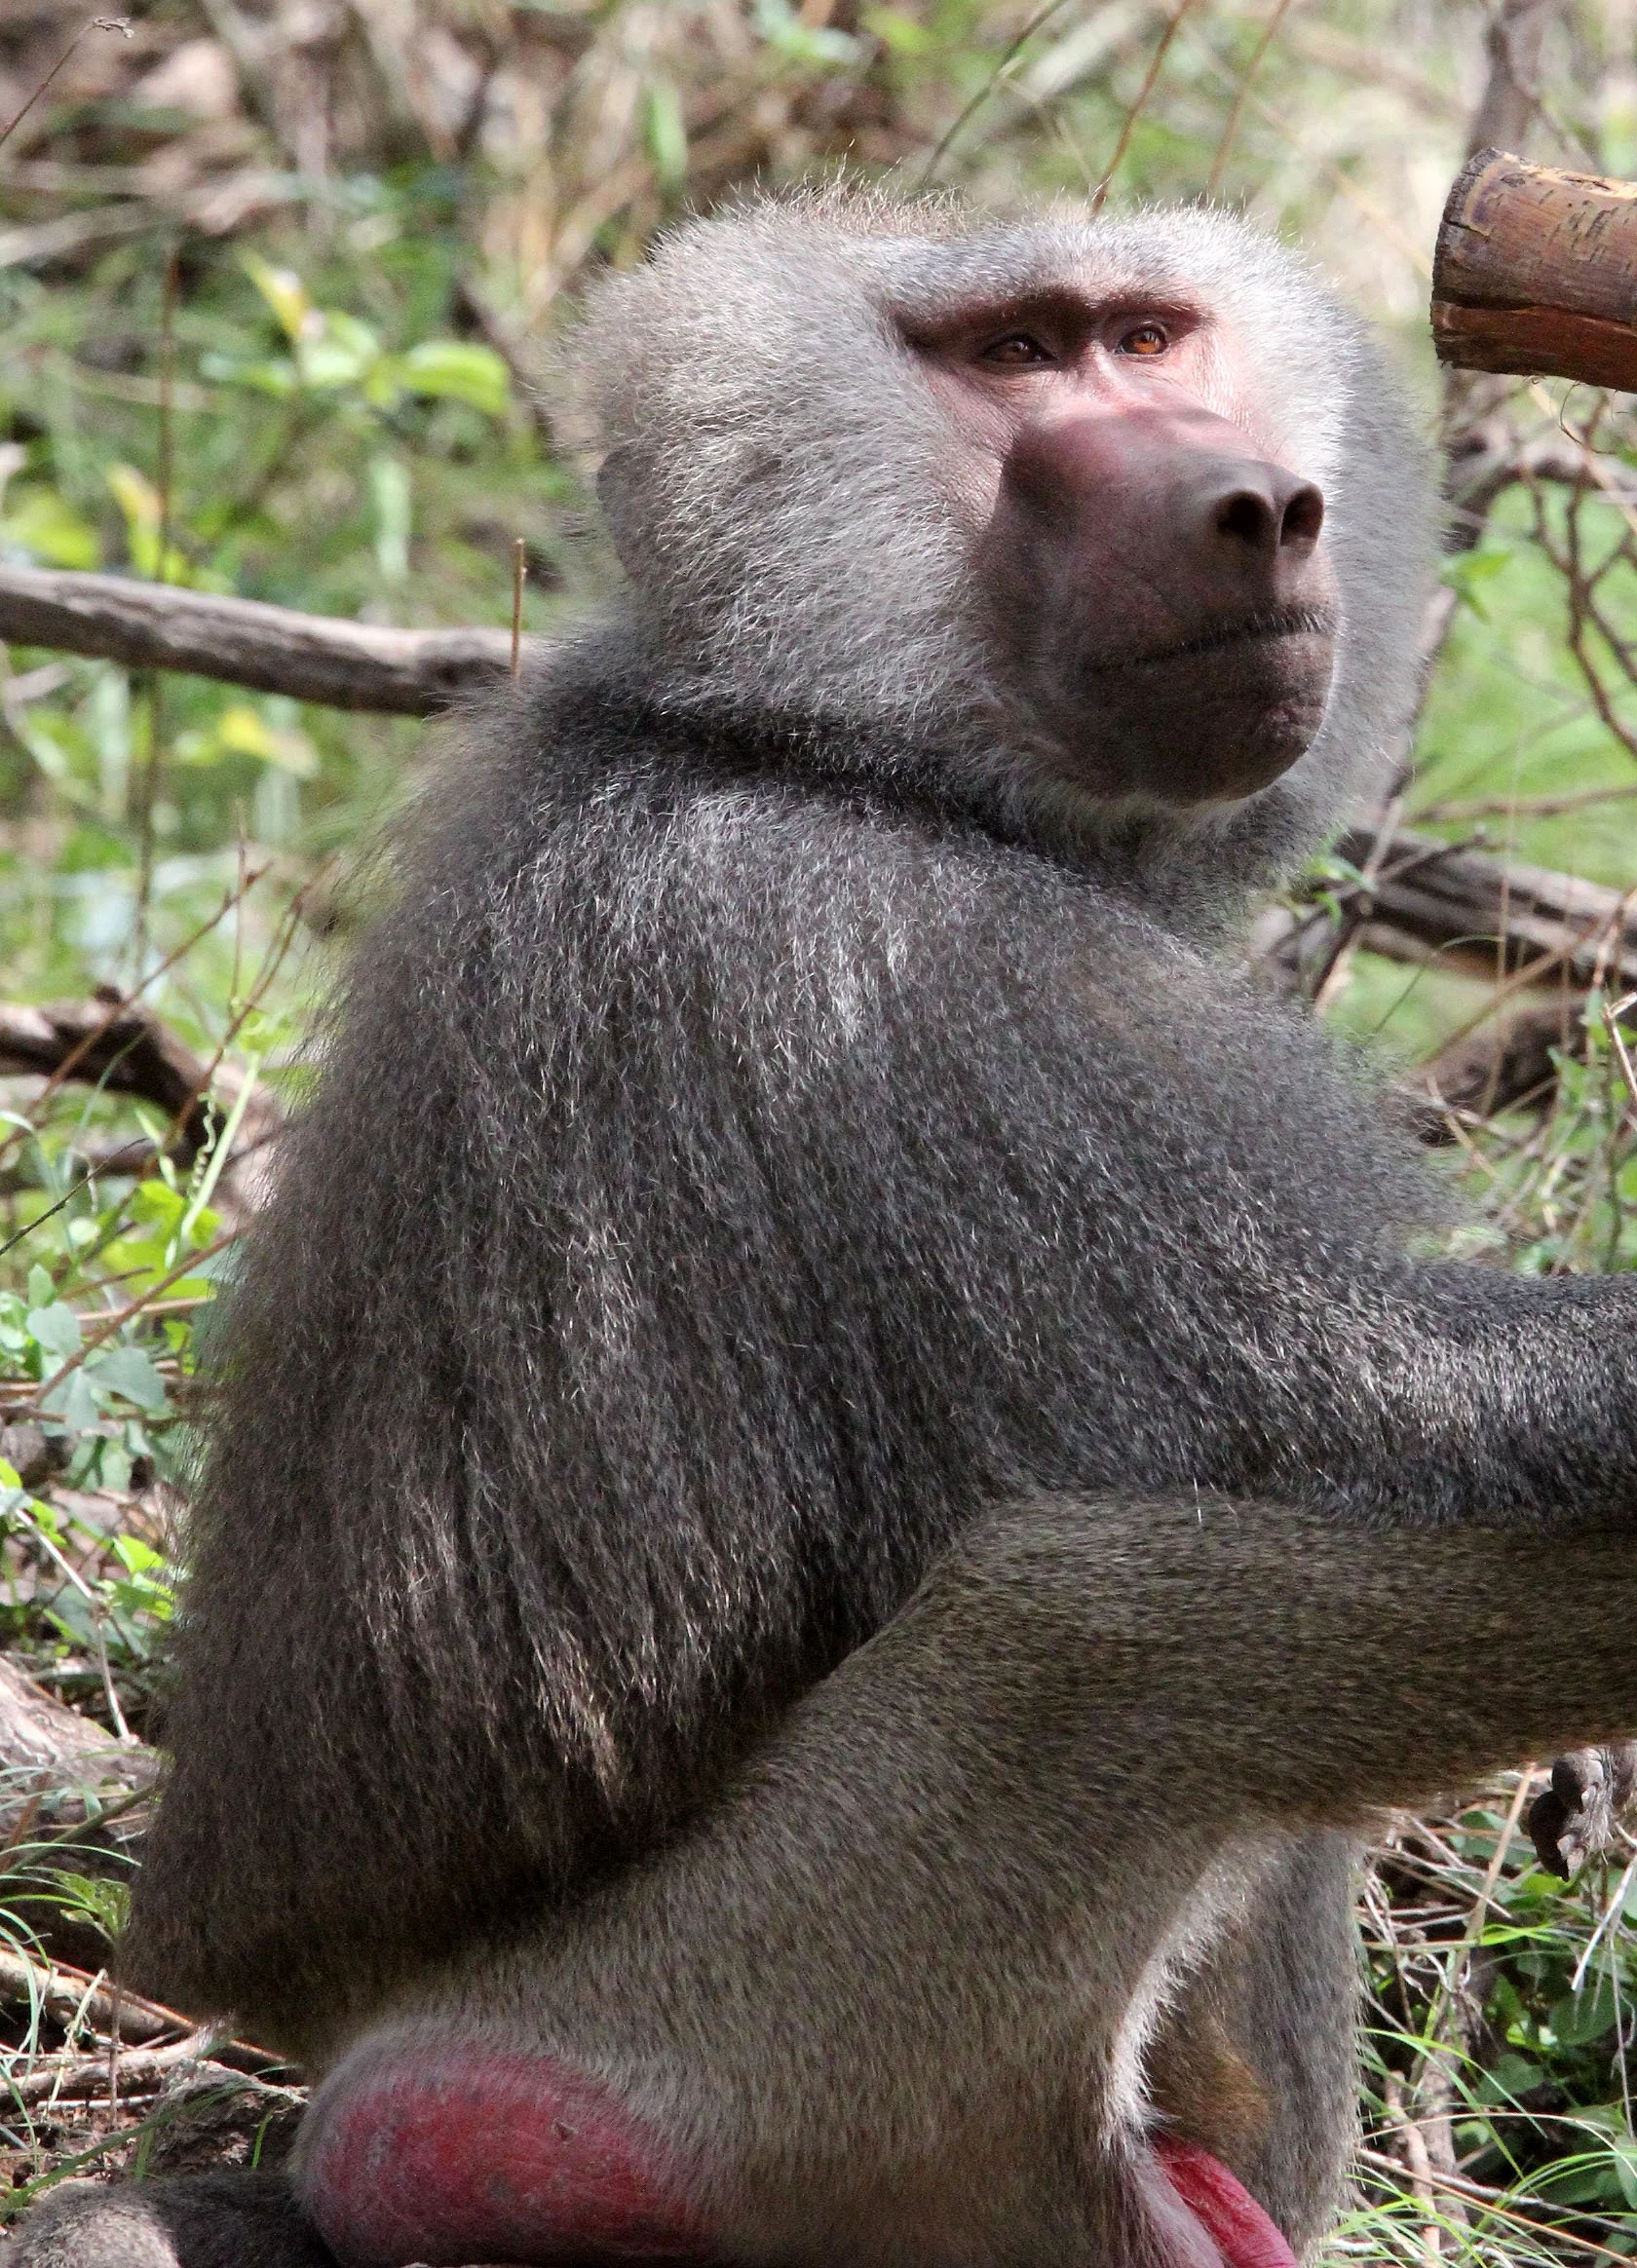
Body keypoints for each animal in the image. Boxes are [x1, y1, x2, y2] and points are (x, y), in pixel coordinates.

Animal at [17, 185, 1637, 2268]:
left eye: (1147, 334)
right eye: (1018, 357)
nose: (1262, 504)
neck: (823, 734)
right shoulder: (891, 972)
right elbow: (1428, 1419)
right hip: (762, 2034)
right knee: (1097, 1623)